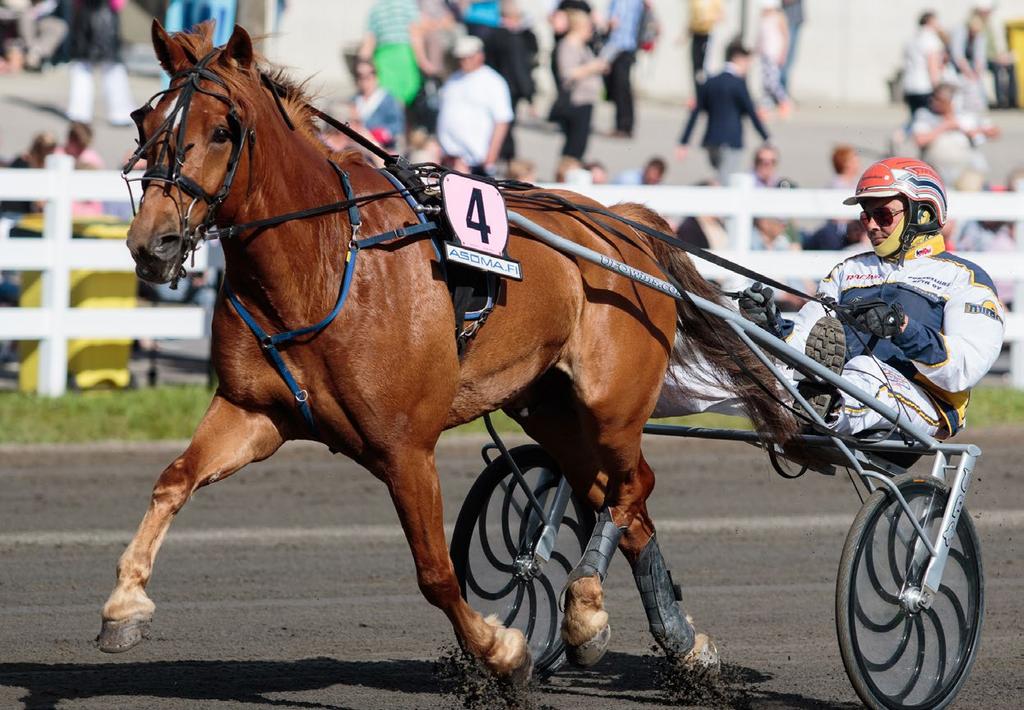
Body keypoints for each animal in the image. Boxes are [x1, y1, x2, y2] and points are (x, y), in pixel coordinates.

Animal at [103, 22, 790, 680]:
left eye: (222, 130)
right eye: (145, 122)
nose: (153, 243)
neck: (326, 258)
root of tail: (624, 225)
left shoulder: (404, 446)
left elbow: (436, 572)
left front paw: (502, 650)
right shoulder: (255, 412)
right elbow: (173, 480)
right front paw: (124, 606)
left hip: (612, 406)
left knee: (630, 488)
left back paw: (588, 609)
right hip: (549, 407)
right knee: (621, 502)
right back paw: (674, 640)